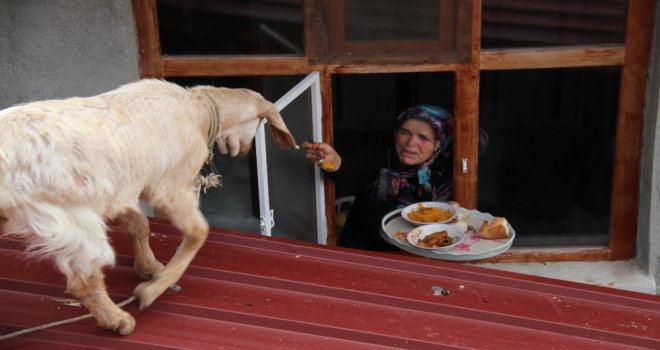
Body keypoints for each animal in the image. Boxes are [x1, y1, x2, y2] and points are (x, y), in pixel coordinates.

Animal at [0, 79, 300, 334]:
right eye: (258, 124)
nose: (246, 151)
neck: (199, 109)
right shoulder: (168, 189)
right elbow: (199, 232)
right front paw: (153, 288)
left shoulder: (123, 190)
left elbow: (139, 224)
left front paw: (149, 266)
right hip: (66, 218)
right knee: (84, 279)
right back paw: (117, 320)